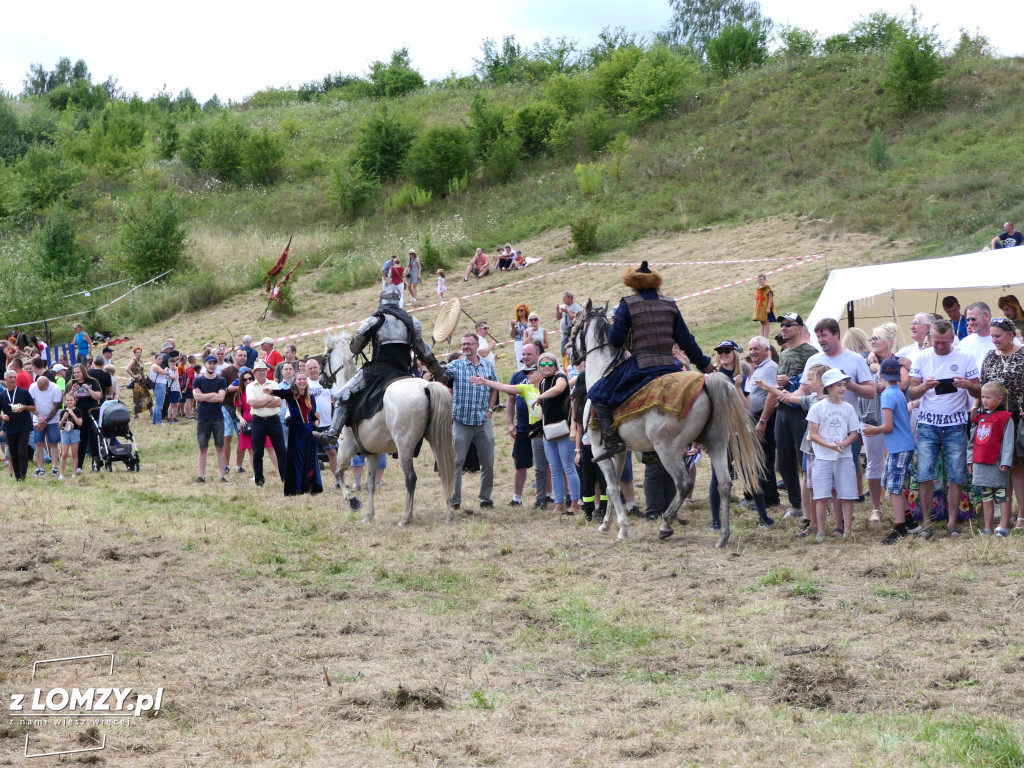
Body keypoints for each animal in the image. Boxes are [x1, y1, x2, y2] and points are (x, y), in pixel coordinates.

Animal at [323, 331, 456, 528]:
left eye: (325, 356)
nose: (322, 379)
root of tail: (426, 386)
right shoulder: (371, 453)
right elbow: (370, 484)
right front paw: (368, 516)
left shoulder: (346, 449)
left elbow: (338, 473)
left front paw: (351, 500)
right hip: (436, 440)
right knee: (445, 471)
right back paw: (449, 515)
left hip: (404, 447)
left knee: (411, 478)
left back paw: (406, 518)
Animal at [573, 301, 765, 548]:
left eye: (575, 326)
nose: (569, 352)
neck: (602, 372)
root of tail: (705, 383)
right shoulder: (619, 451)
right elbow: (610, 485)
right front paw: (606, 524)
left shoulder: (599, 450)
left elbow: (613, 488)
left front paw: (622, 529)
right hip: (717, 443)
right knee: (723, 484)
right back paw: (723, 535)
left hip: (668, 450)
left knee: (683, 483)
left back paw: (666, 525)